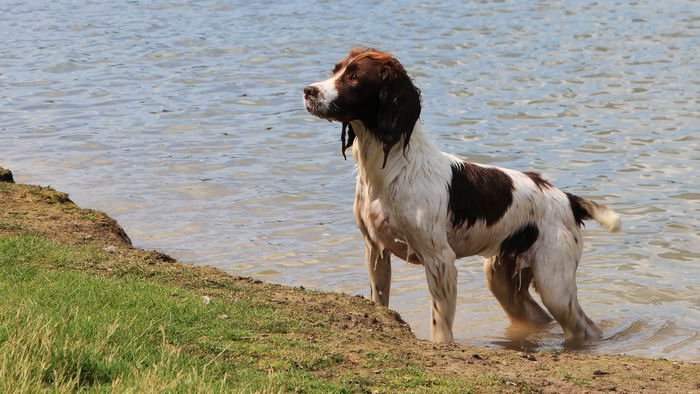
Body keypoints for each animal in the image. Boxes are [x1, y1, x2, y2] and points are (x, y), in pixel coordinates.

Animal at [304, 45, 620, 342]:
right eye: (336, 70)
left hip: (554, 281)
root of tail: (568, 199)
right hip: (501, 276)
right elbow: (380, 300)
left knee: (584, 327)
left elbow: (441, 325)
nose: (308, 91)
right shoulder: (375, 248)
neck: (389, 168)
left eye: (354, 77)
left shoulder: (440, 260)